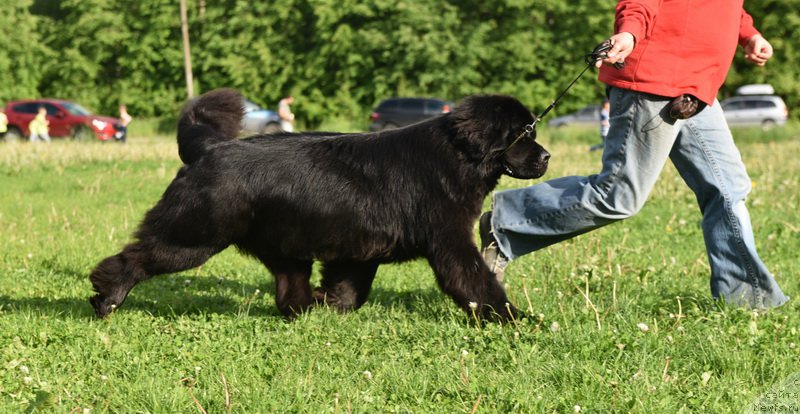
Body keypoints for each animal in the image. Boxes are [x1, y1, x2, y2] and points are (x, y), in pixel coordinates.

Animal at [89, 87, 552, 320]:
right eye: (523, 133)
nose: (547, 157)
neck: (458, 155)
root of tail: (210, 147)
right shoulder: (450, 242)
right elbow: (476, 282)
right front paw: (514, 318)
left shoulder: (360, 250)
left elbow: (349, 289)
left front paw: (332, 306)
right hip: (195, 233)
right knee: (137, 256)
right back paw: (107, 297)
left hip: (282, 244)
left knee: (288, 288)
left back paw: (306, 309)